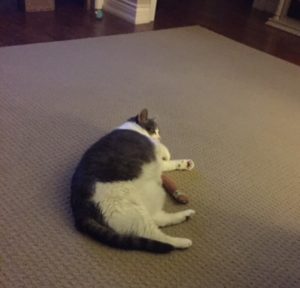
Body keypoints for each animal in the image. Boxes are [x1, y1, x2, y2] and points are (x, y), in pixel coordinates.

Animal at [71, 109, 196, 253]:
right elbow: (164, 150)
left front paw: (186, 164)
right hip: (129, 209)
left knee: (157, 218)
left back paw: (185, 215)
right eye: (153, 130)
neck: (132, 127)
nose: (159, 137)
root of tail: (79, 210)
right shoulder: (153, 145)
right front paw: (168, 153)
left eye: (158, 131)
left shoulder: (159, 162)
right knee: (154, 234)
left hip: (152, 195)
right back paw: (182, 242)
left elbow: (168, 164)